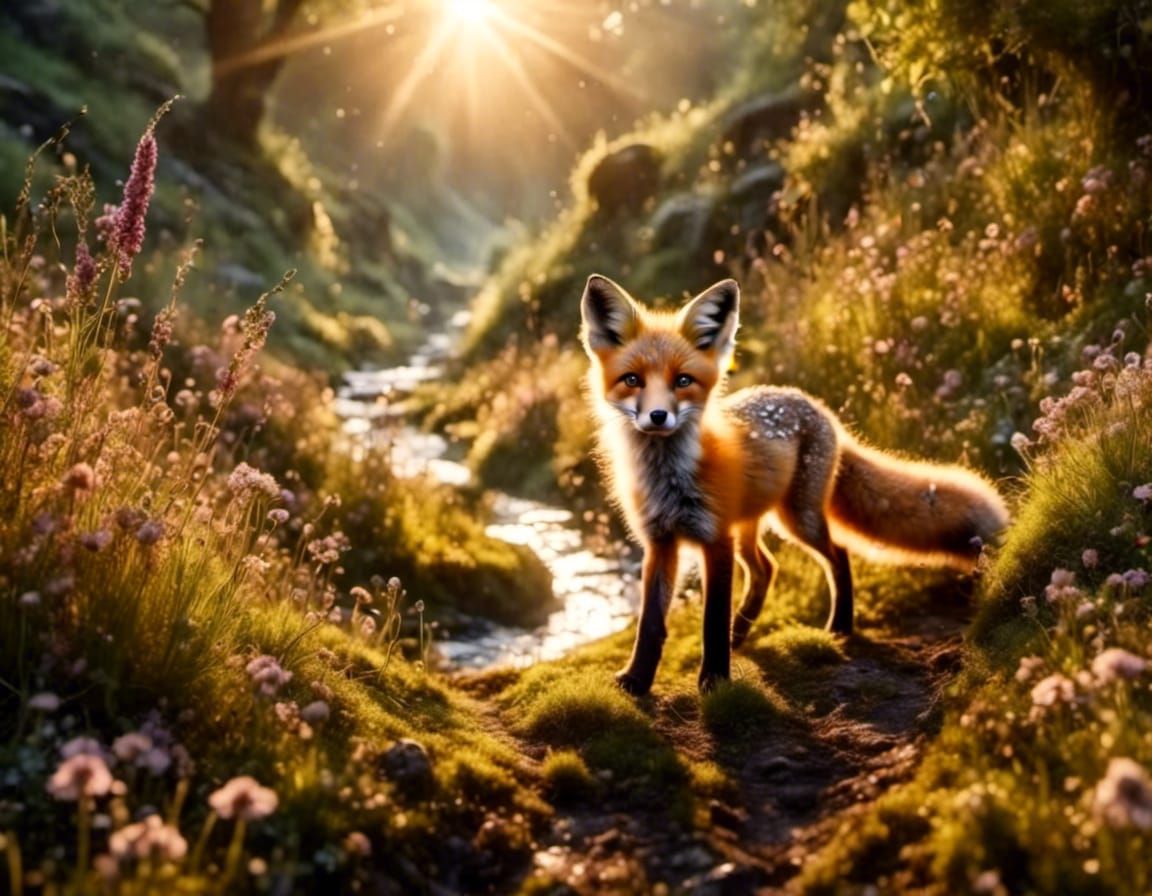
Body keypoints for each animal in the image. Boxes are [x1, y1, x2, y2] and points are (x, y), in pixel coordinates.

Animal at [579, 274, 1009, 695]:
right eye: (632, 380)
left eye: (683, 381)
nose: (657, 416)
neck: (669, 478)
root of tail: (820, 408)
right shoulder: (660, 542)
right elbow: (650, 622)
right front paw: (636, 680)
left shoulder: (715, 539)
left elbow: (712, 621)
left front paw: (715, 680)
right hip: (751, 526)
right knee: (766, 569)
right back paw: (742, 634)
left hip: (796, 519)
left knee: (837, 553)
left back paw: (839, 626)